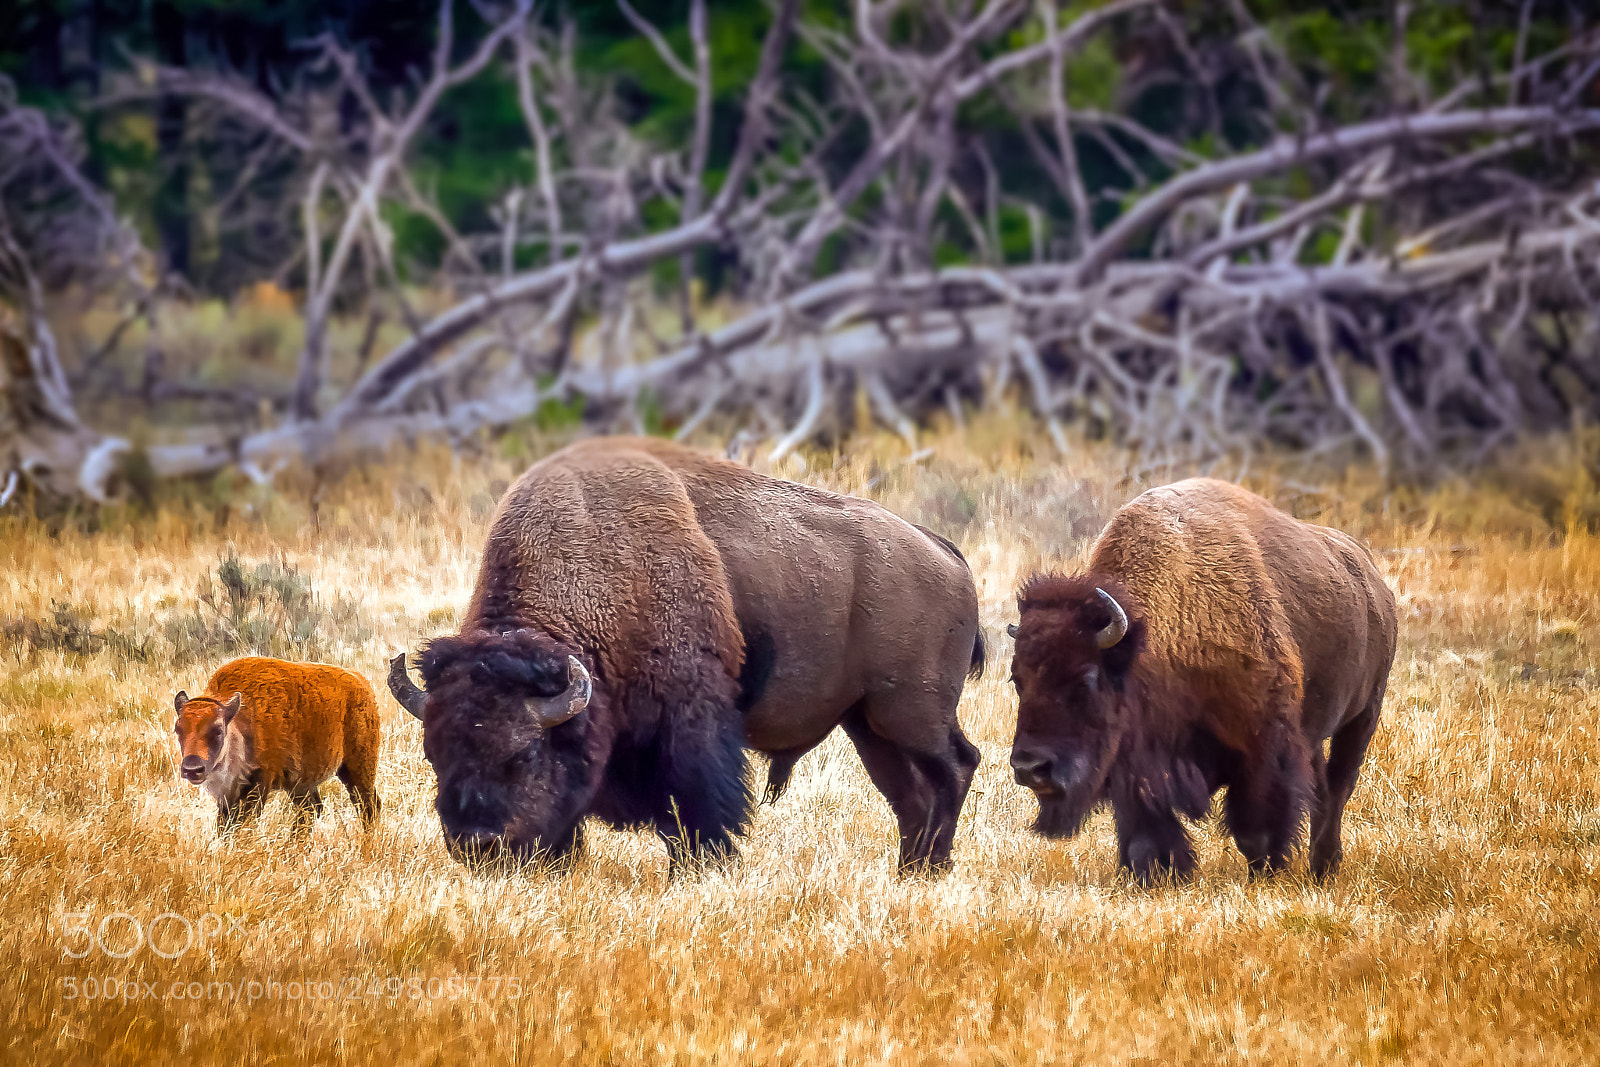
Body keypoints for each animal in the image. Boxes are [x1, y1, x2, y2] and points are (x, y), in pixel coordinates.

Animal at [389, 436, 984, 873]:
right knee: (910, 794)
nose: (475, 844)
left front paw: (701, 868)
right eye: (434, 756)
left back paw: (932, 868)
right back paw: (910, 870)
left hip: (910, 713)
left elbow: (694, 806)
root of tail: (942, 550)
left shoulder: (690, 724)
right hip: (869, 725)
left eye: (522, 755)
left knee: (956, 766)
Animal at [1007, 477, 1396, 881]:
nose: (1030, 768)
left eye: (1085, 680)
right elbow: (1145, 834)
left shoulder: (1264, 746)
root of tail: (1375, 582)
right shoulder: (1138, 765)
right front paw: (1157, 873)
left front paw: (1266, 871)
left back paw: (1325, 866)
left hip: (1363, 716)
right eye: (1017, 680)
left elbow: (1257, 828)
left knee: (1338, 787)